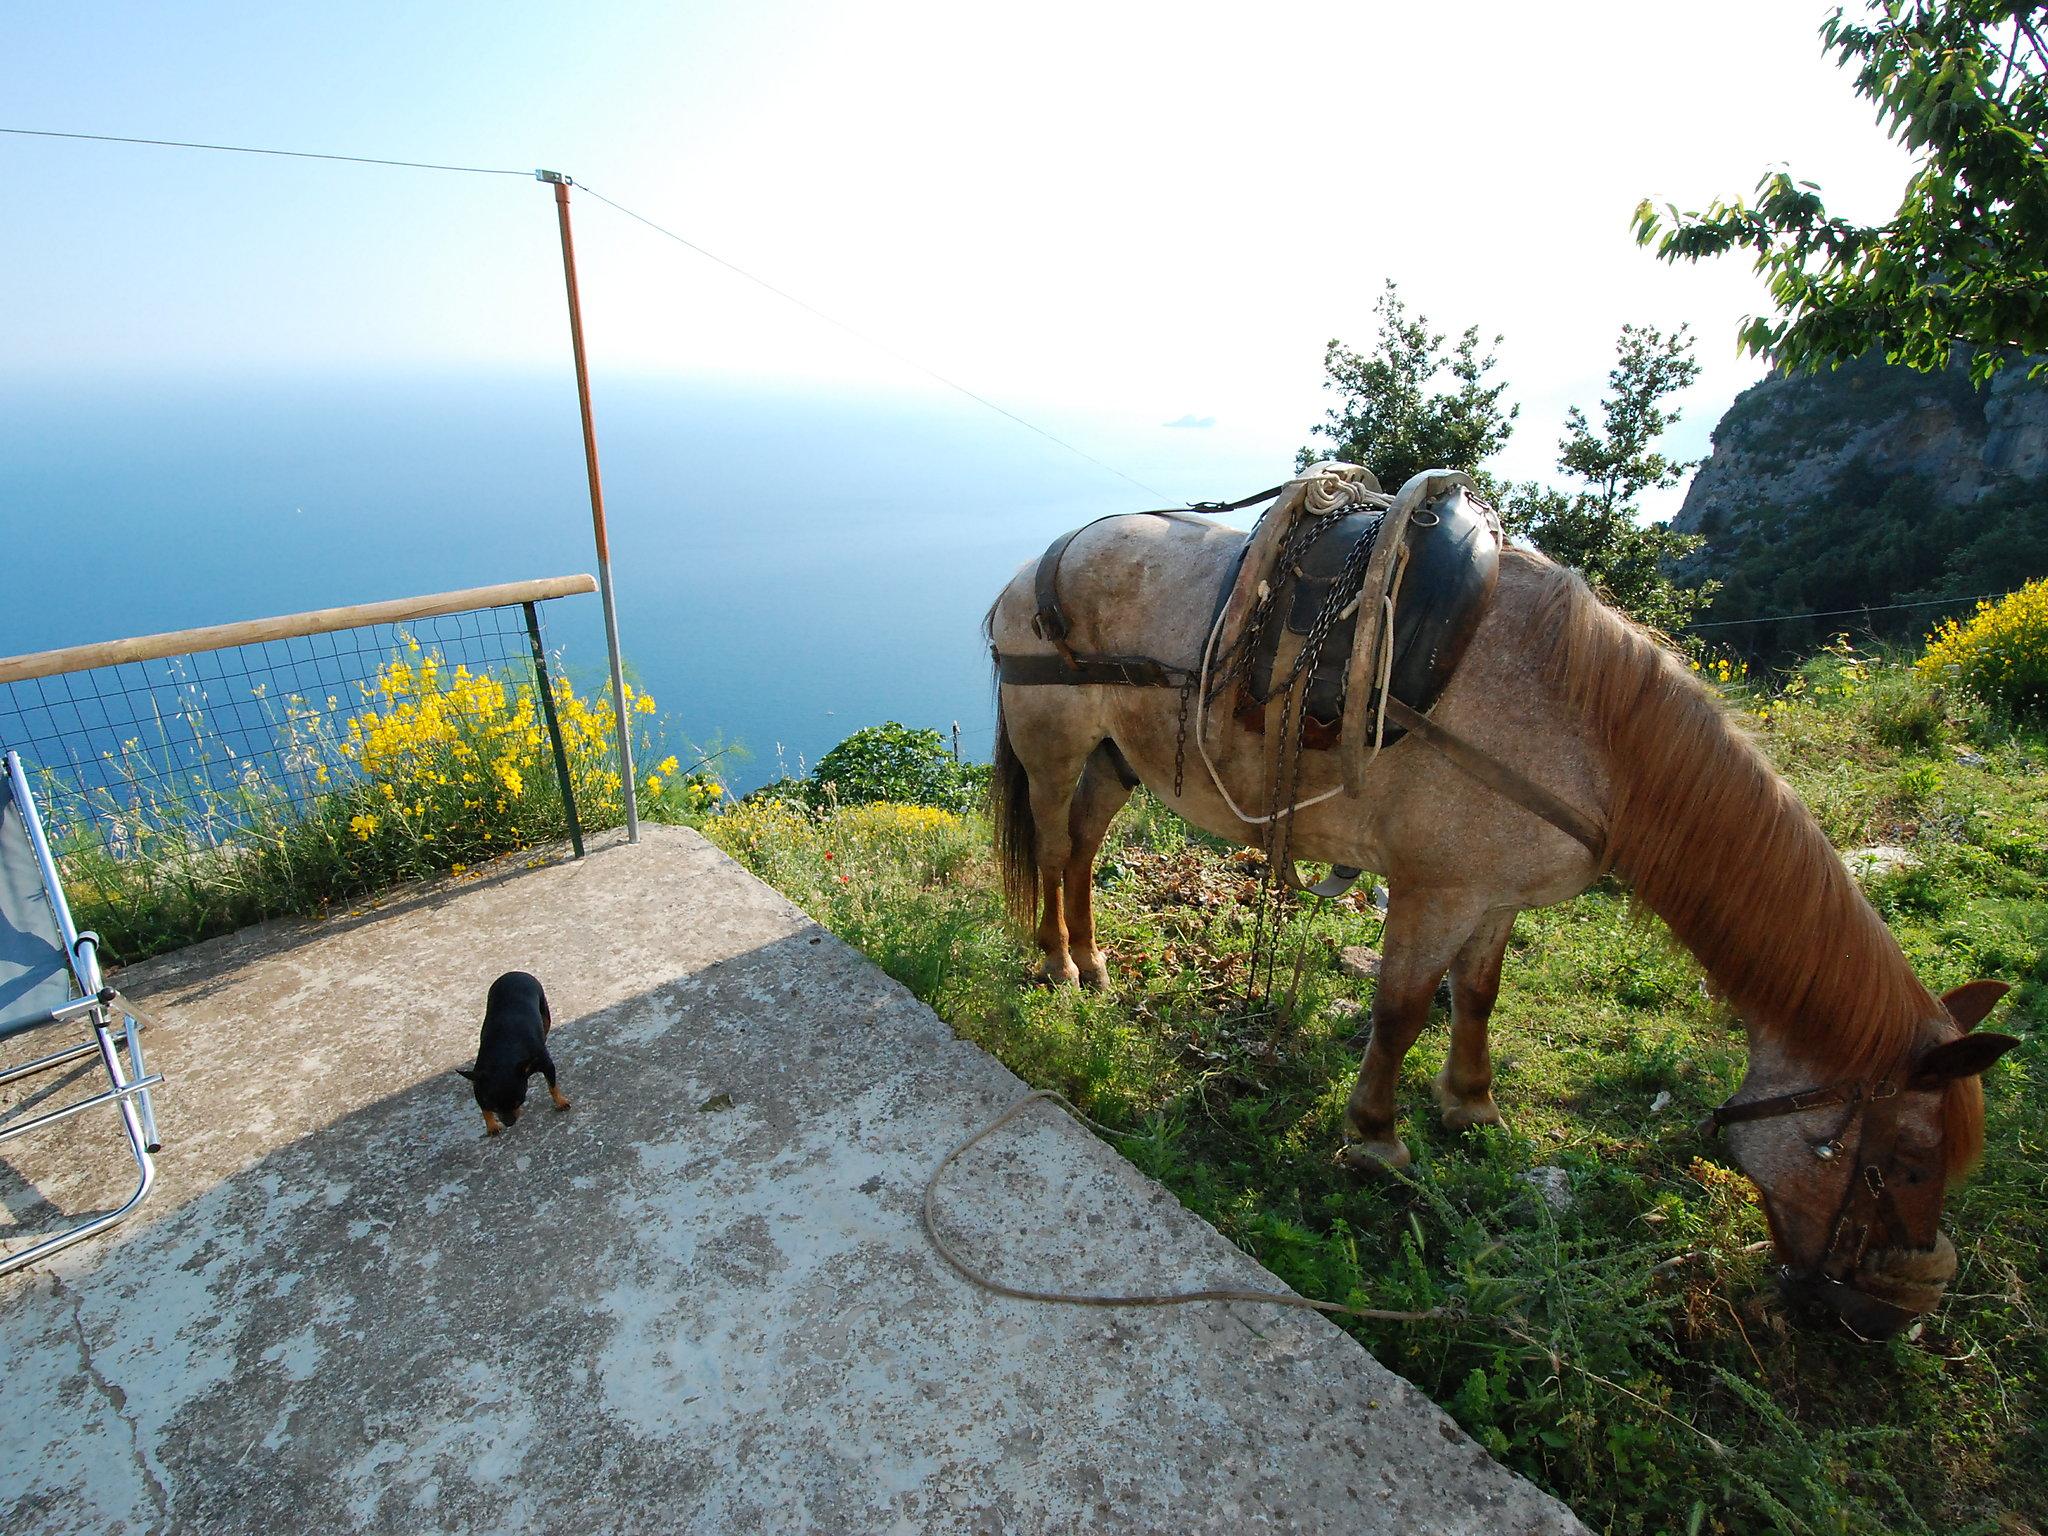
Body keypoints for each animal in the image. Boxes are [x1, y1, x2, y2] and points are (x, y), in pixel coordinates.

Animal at [456, 978, 569, 1138]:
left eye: (519, 1101)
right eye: (495, 1107)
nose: (509, 1123)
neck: (504, 1055)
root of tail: (514, 974)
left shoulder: (546, 1064)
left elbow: (552, 1086)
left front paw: (560, 1101)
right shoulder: (478, 1084)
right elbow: (484, 1108)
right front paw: (491, 1125)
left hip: (545, 1014)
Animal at [987, 501, 2015, 1335]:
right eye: (1908, 1162)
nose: (1892, 1316)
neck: (1588, 737)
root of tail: (1037, 563)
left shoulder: (1493, 898)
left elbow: (1477, 996)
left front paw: (1471, 1104)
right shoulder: (1436, 890)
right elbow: (1402, 1011)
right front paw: (1376, 1137)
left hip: (1118, 756)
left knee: (1082, 851)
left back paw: (1094, 961)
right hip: (1055, 747)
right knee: (1053, 846)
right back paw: (1056, 965)